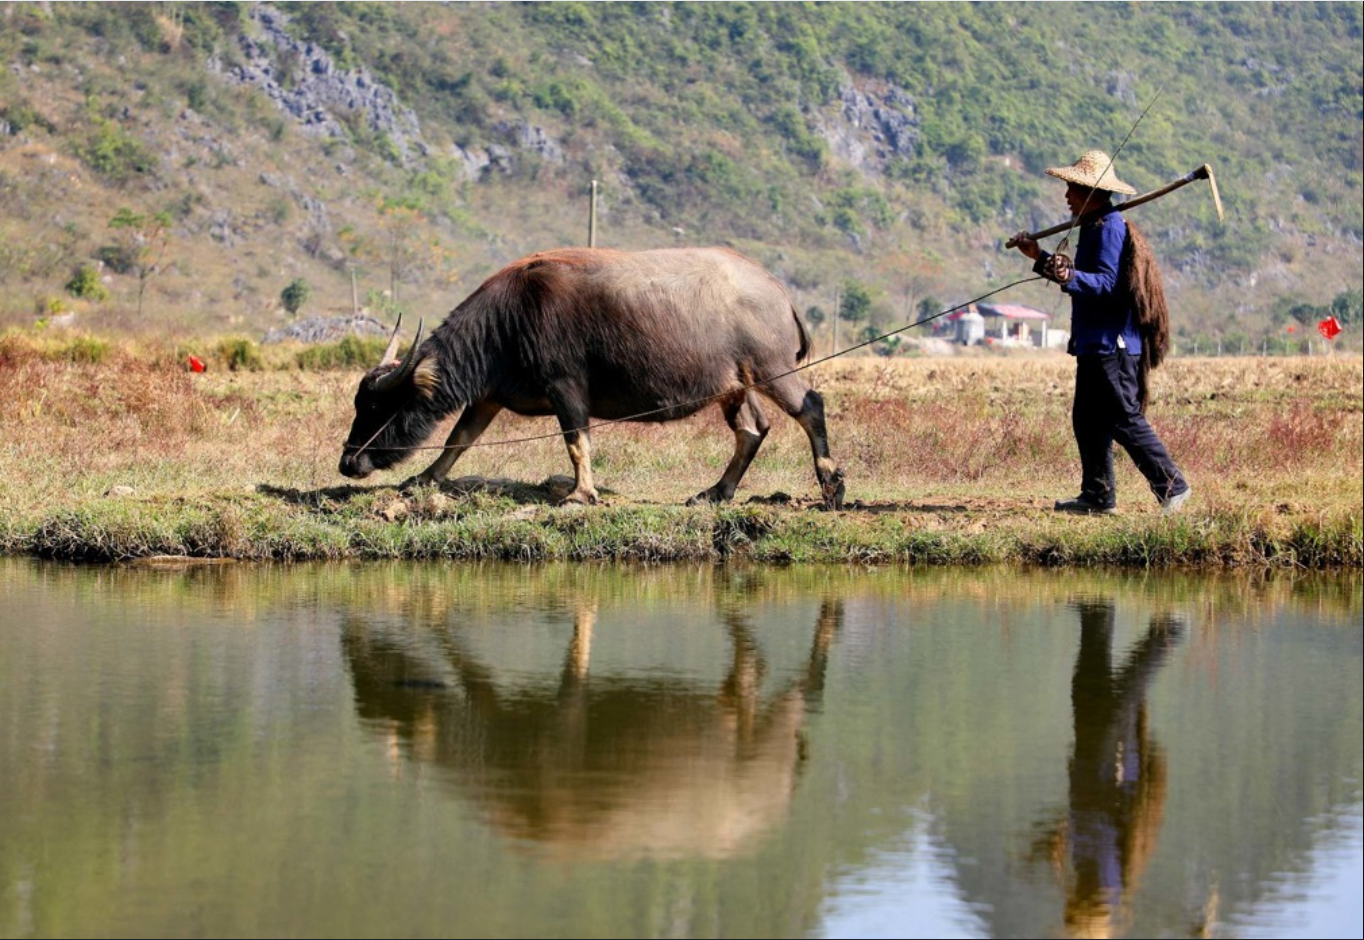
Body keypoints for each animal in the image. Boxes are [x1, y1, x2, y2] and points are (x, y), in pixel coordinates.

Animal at [335, 244, 840, 504]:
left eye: (378, 404)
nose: (347, 463)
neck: (511, 317)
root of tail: (778, 292)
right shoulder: (488, 396)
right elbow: (459, 439)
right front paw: (424, 478)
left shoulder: (566, 388)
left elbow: (577, 442)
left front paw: (581, 494)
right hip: (735, 384)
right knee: (752, 429)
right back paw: (717, 492)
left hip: (773, 368)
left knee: (810, 406)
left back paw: (832, 487)